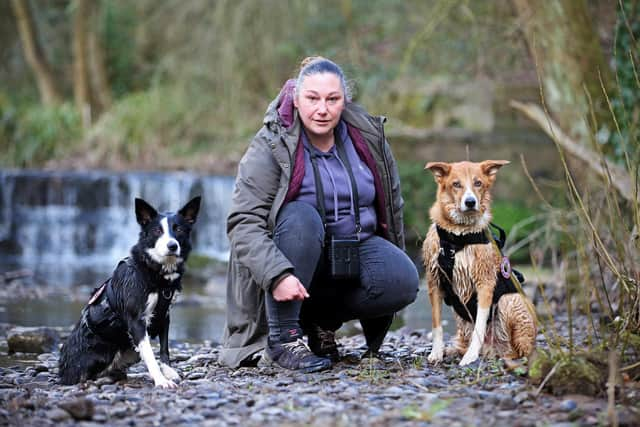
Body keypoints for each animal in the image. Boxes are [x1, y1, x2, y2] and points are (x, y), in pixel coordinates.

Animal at [422, 160, 536, 368]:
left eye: (478, 183)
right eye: (456, 184)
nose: (470, 202)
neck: (457, 236)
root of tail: (492, 350)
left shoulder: (485, 283)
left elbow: (480, 324)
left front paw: (470, 356)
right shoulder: (434, 281)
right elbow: (436, 324)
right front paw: (436, 352)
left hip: (510, 301)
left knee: (518, 351)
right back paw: (454, 350)